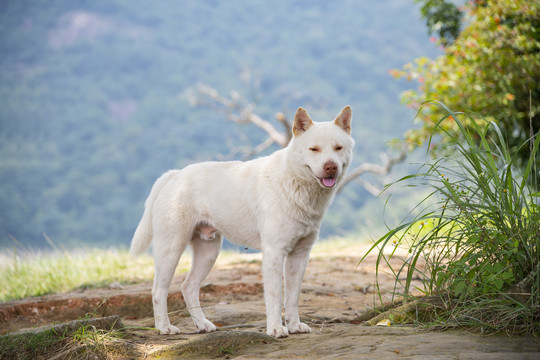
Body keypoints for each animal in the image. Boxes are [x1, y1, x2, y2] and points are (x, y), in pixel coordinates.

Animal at [131, 106, 354, 338]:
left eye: (338, 148)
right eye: (314, 149)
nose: (331, 167)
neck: (294, 181)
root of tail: (174, 175)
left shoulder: (300, 255)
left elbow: (293, 296)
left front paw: (294, 325)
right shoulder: (274, 252)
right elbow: (275, 296)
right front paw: (276, 328)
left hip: (208, 251)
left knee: (188, 286)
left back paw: (202, 324)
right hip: (171, 248)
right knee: (158, 290)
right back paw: (164, 327)